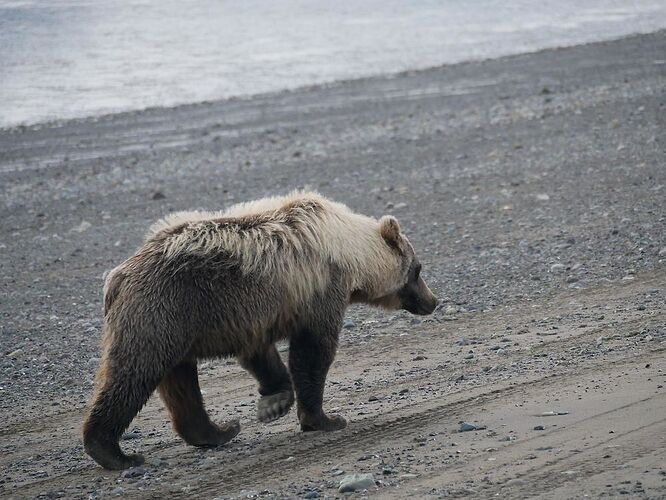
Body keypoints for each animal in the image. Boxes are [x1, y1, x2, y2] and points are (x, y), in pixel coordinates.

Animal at [81, 190, 436, 468]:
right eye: (417, 269)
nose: (433, 301)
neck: (348, 250)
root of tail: (118, 276)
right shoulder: (319, 289)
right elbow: (313, 352)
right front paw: (325, 419)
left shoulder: (250, 315)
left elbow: (260, 354)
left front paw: (273, 403)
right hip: (163, 309)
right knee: (133, 373)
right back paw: (113, 452)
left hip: (174, 324)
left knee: (180, 382)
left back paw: (218, 431)